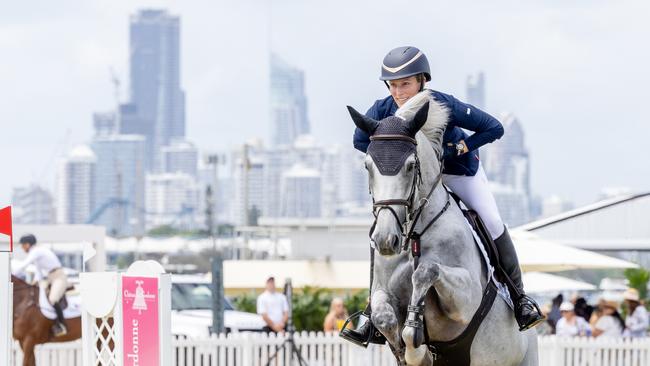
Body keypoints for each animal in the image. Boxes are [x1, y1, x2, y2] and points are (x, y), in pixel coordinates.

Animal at [350, 89, 536, 366]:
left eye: (410, 166)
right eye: (367, 166)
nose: (385, 240)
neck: (415, 234)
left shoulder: (467, 300)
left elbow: (426, 271)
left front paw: (415, 342)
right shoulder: (382, 291)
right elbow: (384, 318)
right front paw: (406, 351)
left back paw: (526, 310)